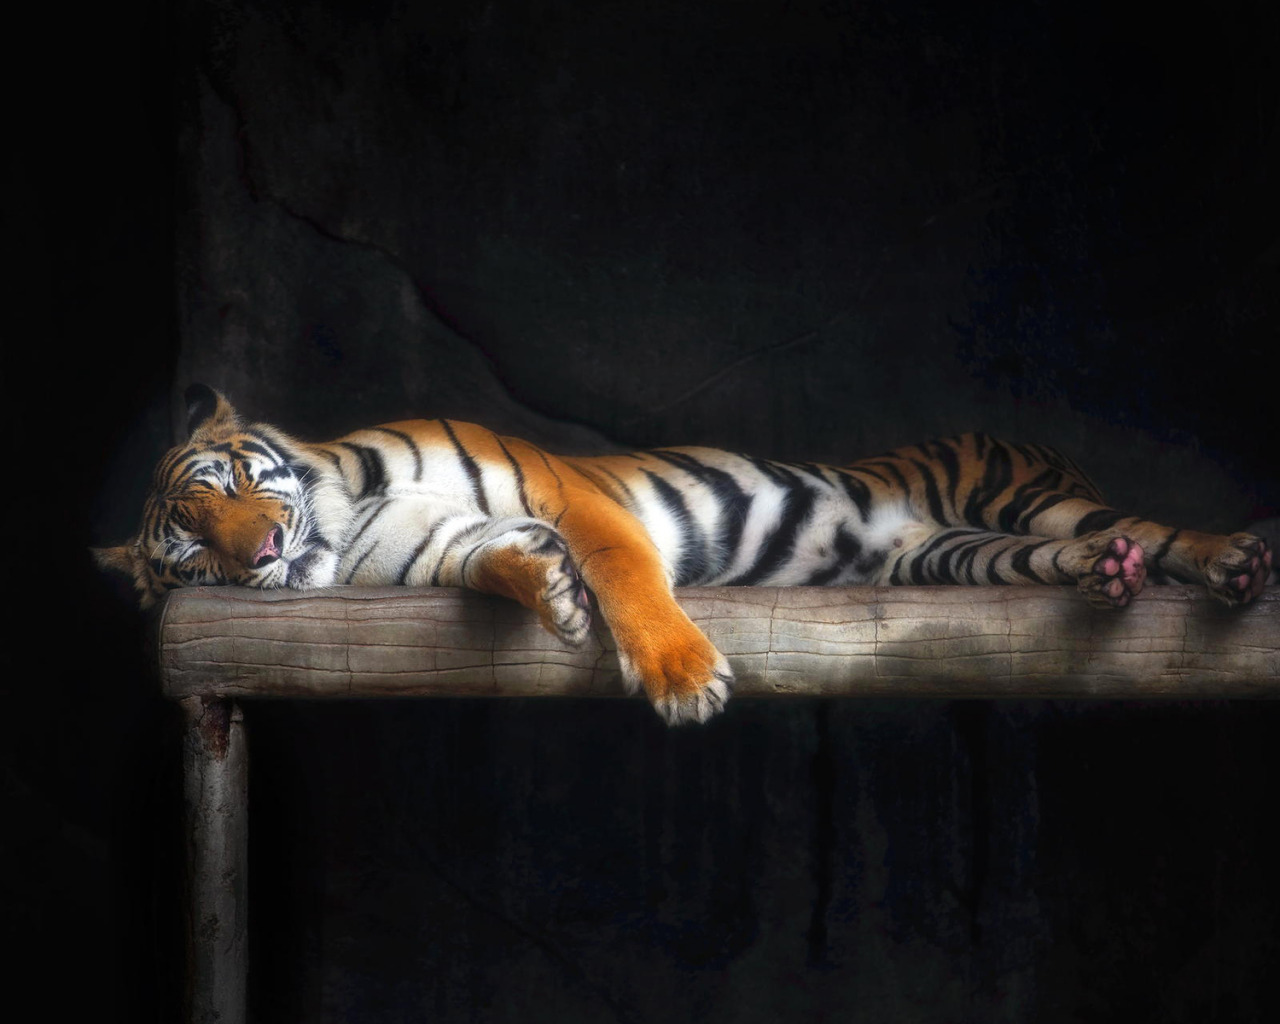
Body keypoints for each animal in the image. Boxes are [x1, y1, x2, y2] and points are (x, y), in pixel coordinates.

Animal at [96, 385, 1271, 725]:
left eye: (232, 490)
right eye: (189, 553)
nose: (259, 554)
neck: (345, 522)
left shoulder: (570, 492)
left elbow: (624, 570)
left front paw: (679, 675)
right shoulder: (442, 542)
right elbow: (490, 558)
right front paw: (550, 593)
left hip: (1016, 493)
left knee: (1149, 528)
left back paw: (1232, 563)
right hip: (957, 556)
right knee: (1092, 553)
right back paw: (1105, 580)